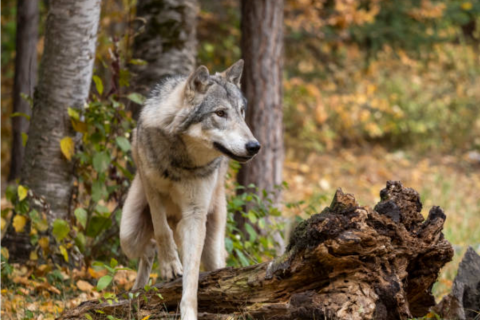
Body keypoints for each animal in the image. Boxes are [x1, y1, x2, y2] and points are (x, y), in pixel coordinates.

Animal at [122, 60, 260, 320]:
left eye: (241, 112)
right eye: (220, 113)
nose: (254, 146)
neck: (180, 160)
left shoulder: (195, 215)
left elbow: (192, 279)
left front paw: (188, 311)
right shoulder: (151, 189)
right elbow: (161, 229)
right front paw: (169, 265)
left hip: (211, 245)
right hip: (128, 234)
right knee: (149, 248)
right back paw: (136, 293)